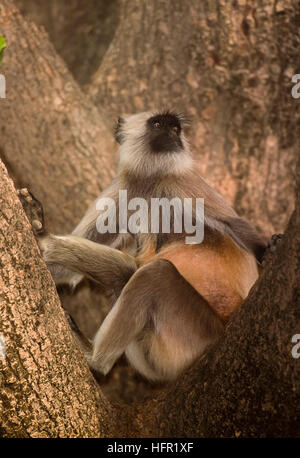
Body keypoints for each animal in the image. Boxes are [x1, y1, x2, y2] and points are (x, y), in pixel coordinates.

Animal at [24, 109, 266, 382]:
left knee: (152, 273)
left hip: (196, 332)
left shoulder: (180, 181)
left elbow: (233, 225)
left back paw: (95, 360)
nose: (173, 135)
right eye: (159, 124)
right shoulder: (127, 188)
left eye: (175, 129)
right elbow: (72, 271)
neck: (151, 179)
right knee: (129, 273)